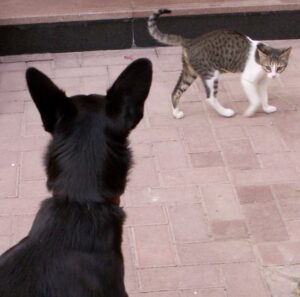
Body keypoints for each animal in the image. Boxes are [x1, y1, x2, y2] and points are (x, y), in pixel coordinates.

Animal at [149, 9, 292, 118]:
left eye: (279, 68)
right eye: (268, 66)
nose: (273, 76)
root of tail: (191, 41)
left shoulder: (262, 82)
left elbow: (264, 96)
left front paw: (267, 108)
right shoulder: (247, 79)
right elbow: (256, 99)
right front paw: (249, 112)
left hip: (189, 73)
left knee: (176, 92)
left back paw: (176, 113)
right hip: (211, 74)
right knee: (210, 98)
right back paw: (225, 112)